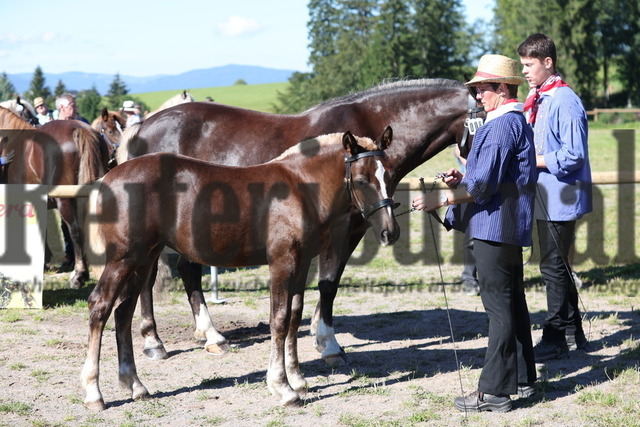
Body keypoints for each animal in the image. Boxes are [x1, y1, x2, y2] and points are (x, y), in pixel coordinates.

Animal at [82, 129, 398, 410]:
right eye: (361, 180)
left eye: (390, 175)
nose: (390, 233)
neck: (301, 188)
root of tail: (109, 177)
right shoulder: (282, 263)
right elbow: (280, 320)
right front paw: (283, 388)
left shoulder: (302, 263)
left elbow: (295, 318)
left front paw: (297, 380)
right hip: (123, 259)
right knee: (100, 306)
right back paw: (94, 393)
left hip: (143, 258)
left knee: (123, 312)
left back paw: (135, 385)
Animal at [117, 77, 482, 364]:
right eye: (484, 119)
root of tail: (141, 129)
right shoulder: (340, 230)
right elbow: (328, 283)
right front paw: (329, 343)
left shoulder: (353, 229)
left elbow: (328, 285)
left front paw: (321, 336)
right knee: (151, 278)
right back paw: (155, 342)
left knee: (186, 270)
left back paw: (210, 335)